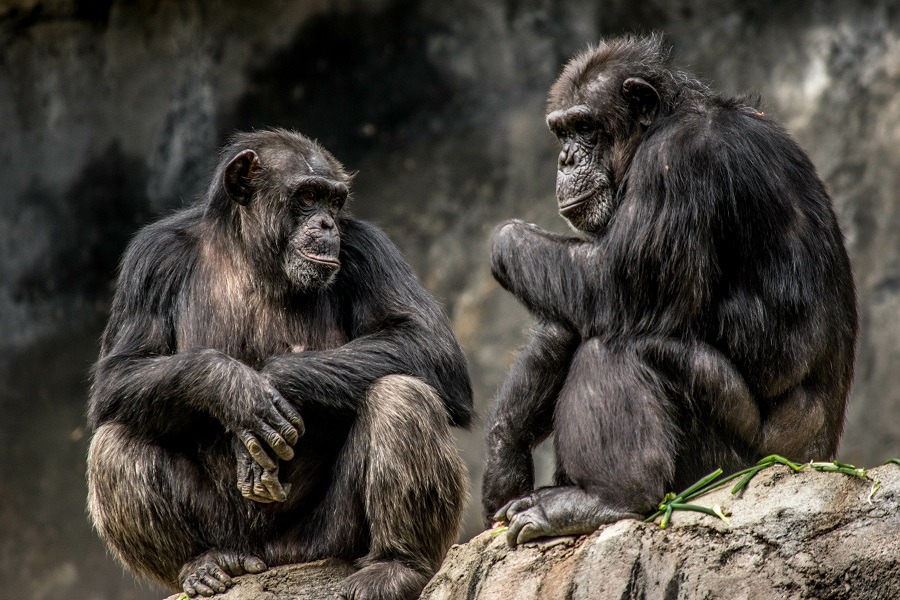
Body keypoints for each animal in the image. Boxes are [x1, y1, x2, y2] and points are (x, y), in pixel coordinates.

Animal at [87, 129, 474, 596]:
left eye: (335, 202)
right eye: (307, 196)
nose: (327, 224)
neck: (255, 254)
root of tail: (269, 560)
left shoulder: (368, 247)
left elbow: (428, 343)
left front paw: (275, 379)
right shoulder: (151, 259)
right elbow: (120, 372)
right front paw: (234, 389)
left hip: (323, 539)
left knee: (402, 394)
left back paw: (397, 566)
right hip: (230, 532)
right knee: (115, 440)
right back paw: (202, 563)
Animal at [486, 35, 856, 548]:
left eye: (585, 127)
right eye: (561, 132)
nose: (566, 159)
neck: (660, 123)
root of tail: (815, 457)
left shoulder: (676, 162)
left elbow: (610, 285)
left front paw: (505, 236)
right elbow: (566, 319)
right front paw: (505, 452)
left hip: (737, 459)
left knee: (619, 346)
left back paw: (603, 499)